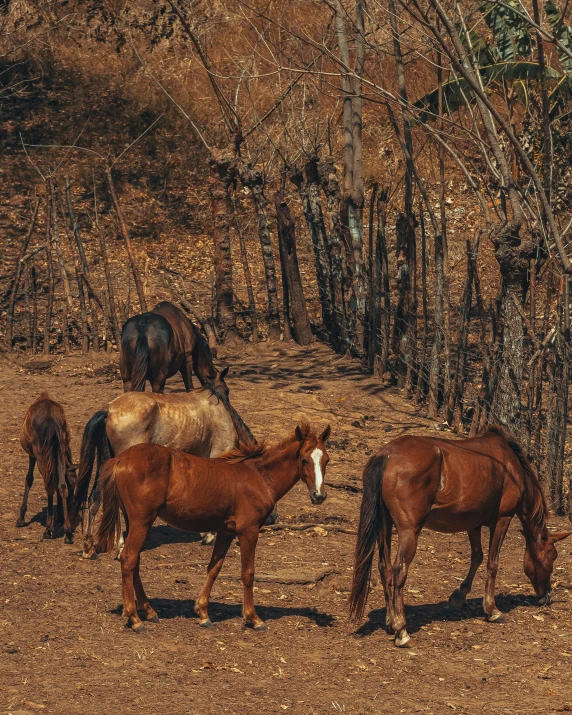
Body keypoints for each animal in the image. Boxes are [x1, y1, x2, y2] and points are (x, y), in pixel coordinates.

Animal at [17, 398, 77, 544]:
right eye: (74, 484)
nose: (71, 508)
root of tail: (52, 422)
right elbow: (62, 483)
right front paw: (61, 515)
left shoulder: (32, 455)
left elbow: (29, 479)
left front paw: (21, 518)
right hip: (59, 448)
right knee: (60, 485)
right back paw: (68, 533)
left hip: (42, 456)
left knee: (49, 485)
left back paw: (48, 530)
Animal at [70, 386, 260, 560]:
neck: (222, 414)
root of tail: (109, 409)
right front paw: (208, 534)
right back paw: (119, 546)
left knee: (95, 498)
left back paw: (89, 547)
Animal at [95, 422, 330, 636]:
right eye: (304, 459)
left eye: (326, 460)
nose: (319, 496)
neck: (259, 476)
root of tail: (119, 459)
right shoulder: (249, 530)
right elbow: (248, 573)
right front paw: (253, 618)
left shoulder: (226, 532)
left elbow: (214, 568)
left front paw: (203, 614)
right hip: (142, 520)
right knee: (128, 558)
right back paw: (135, 618)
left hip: (134, 520)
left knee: (135, 560)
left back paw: (150, 611)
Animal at [350, 428, 568, 652]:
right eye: (553, 555)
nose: (547, 596)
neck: (511, 467)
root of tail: (387, 454)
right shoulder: (503, 519)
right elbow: (492, 564)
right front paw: (492, 610)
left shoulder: (473, 523)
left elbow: (477, 557)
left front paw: (459, 596)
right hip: (408, 531)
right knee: (399, 570)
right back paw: (401, 631)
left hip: (384, 524)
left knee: (384, 567)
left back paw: (390, 621)